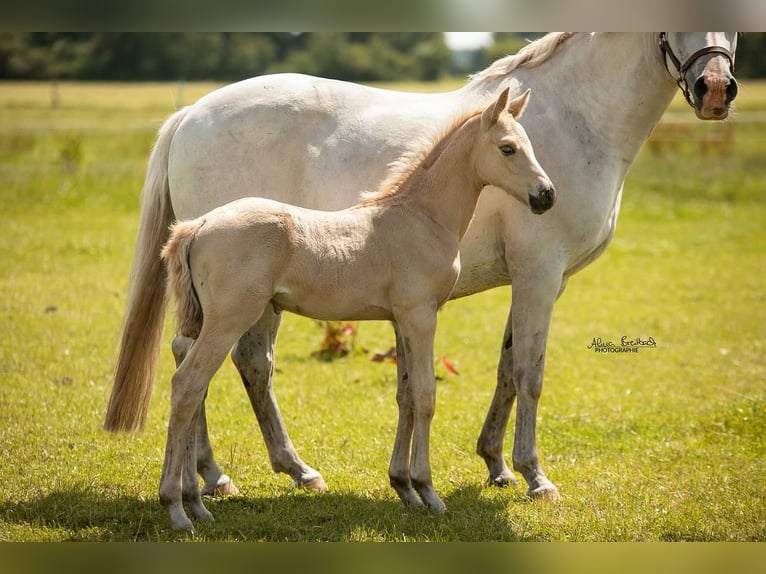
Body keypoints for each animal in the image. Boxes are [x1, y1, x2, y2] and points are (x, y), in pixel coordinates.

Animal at [159, 88, 556, 532]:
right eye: (507, 148)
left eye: (529, 145)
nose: (546, 196)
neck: (419, 216)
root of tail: (198, 225)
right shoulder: (421, 316)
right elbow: (426, 396)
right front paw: (429, 492)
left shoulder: (400, 320)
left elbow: (405, 396)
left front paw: (404, 488)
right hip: (228, 321)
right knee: (187, 384)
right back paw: (177, 509)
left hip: (208, 323)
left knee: (191, 382)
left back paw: (196, 502)